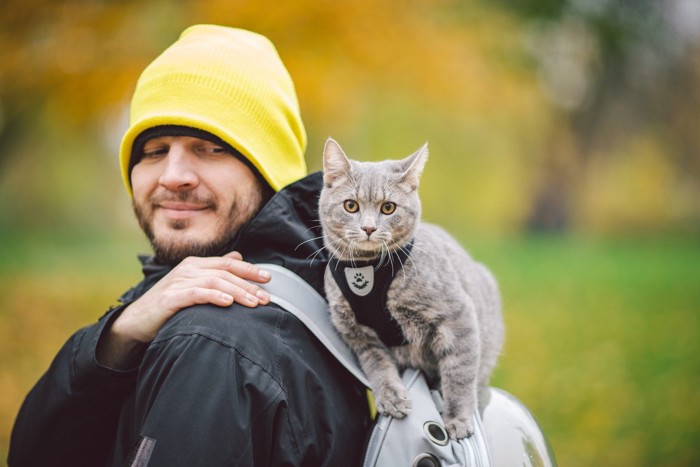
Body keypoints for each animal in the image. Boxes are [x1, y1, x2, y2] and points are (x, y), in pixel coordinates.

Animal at [320, 138, 506, 438]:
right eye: (350, 205)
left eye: (388, 208)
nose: (369, 228)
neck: (368, 271)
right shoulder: (358, 335)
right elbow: (378, 366)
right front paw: (391, 396)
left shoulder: (458, 316)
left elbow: (460, 371)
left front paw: (458, 417)